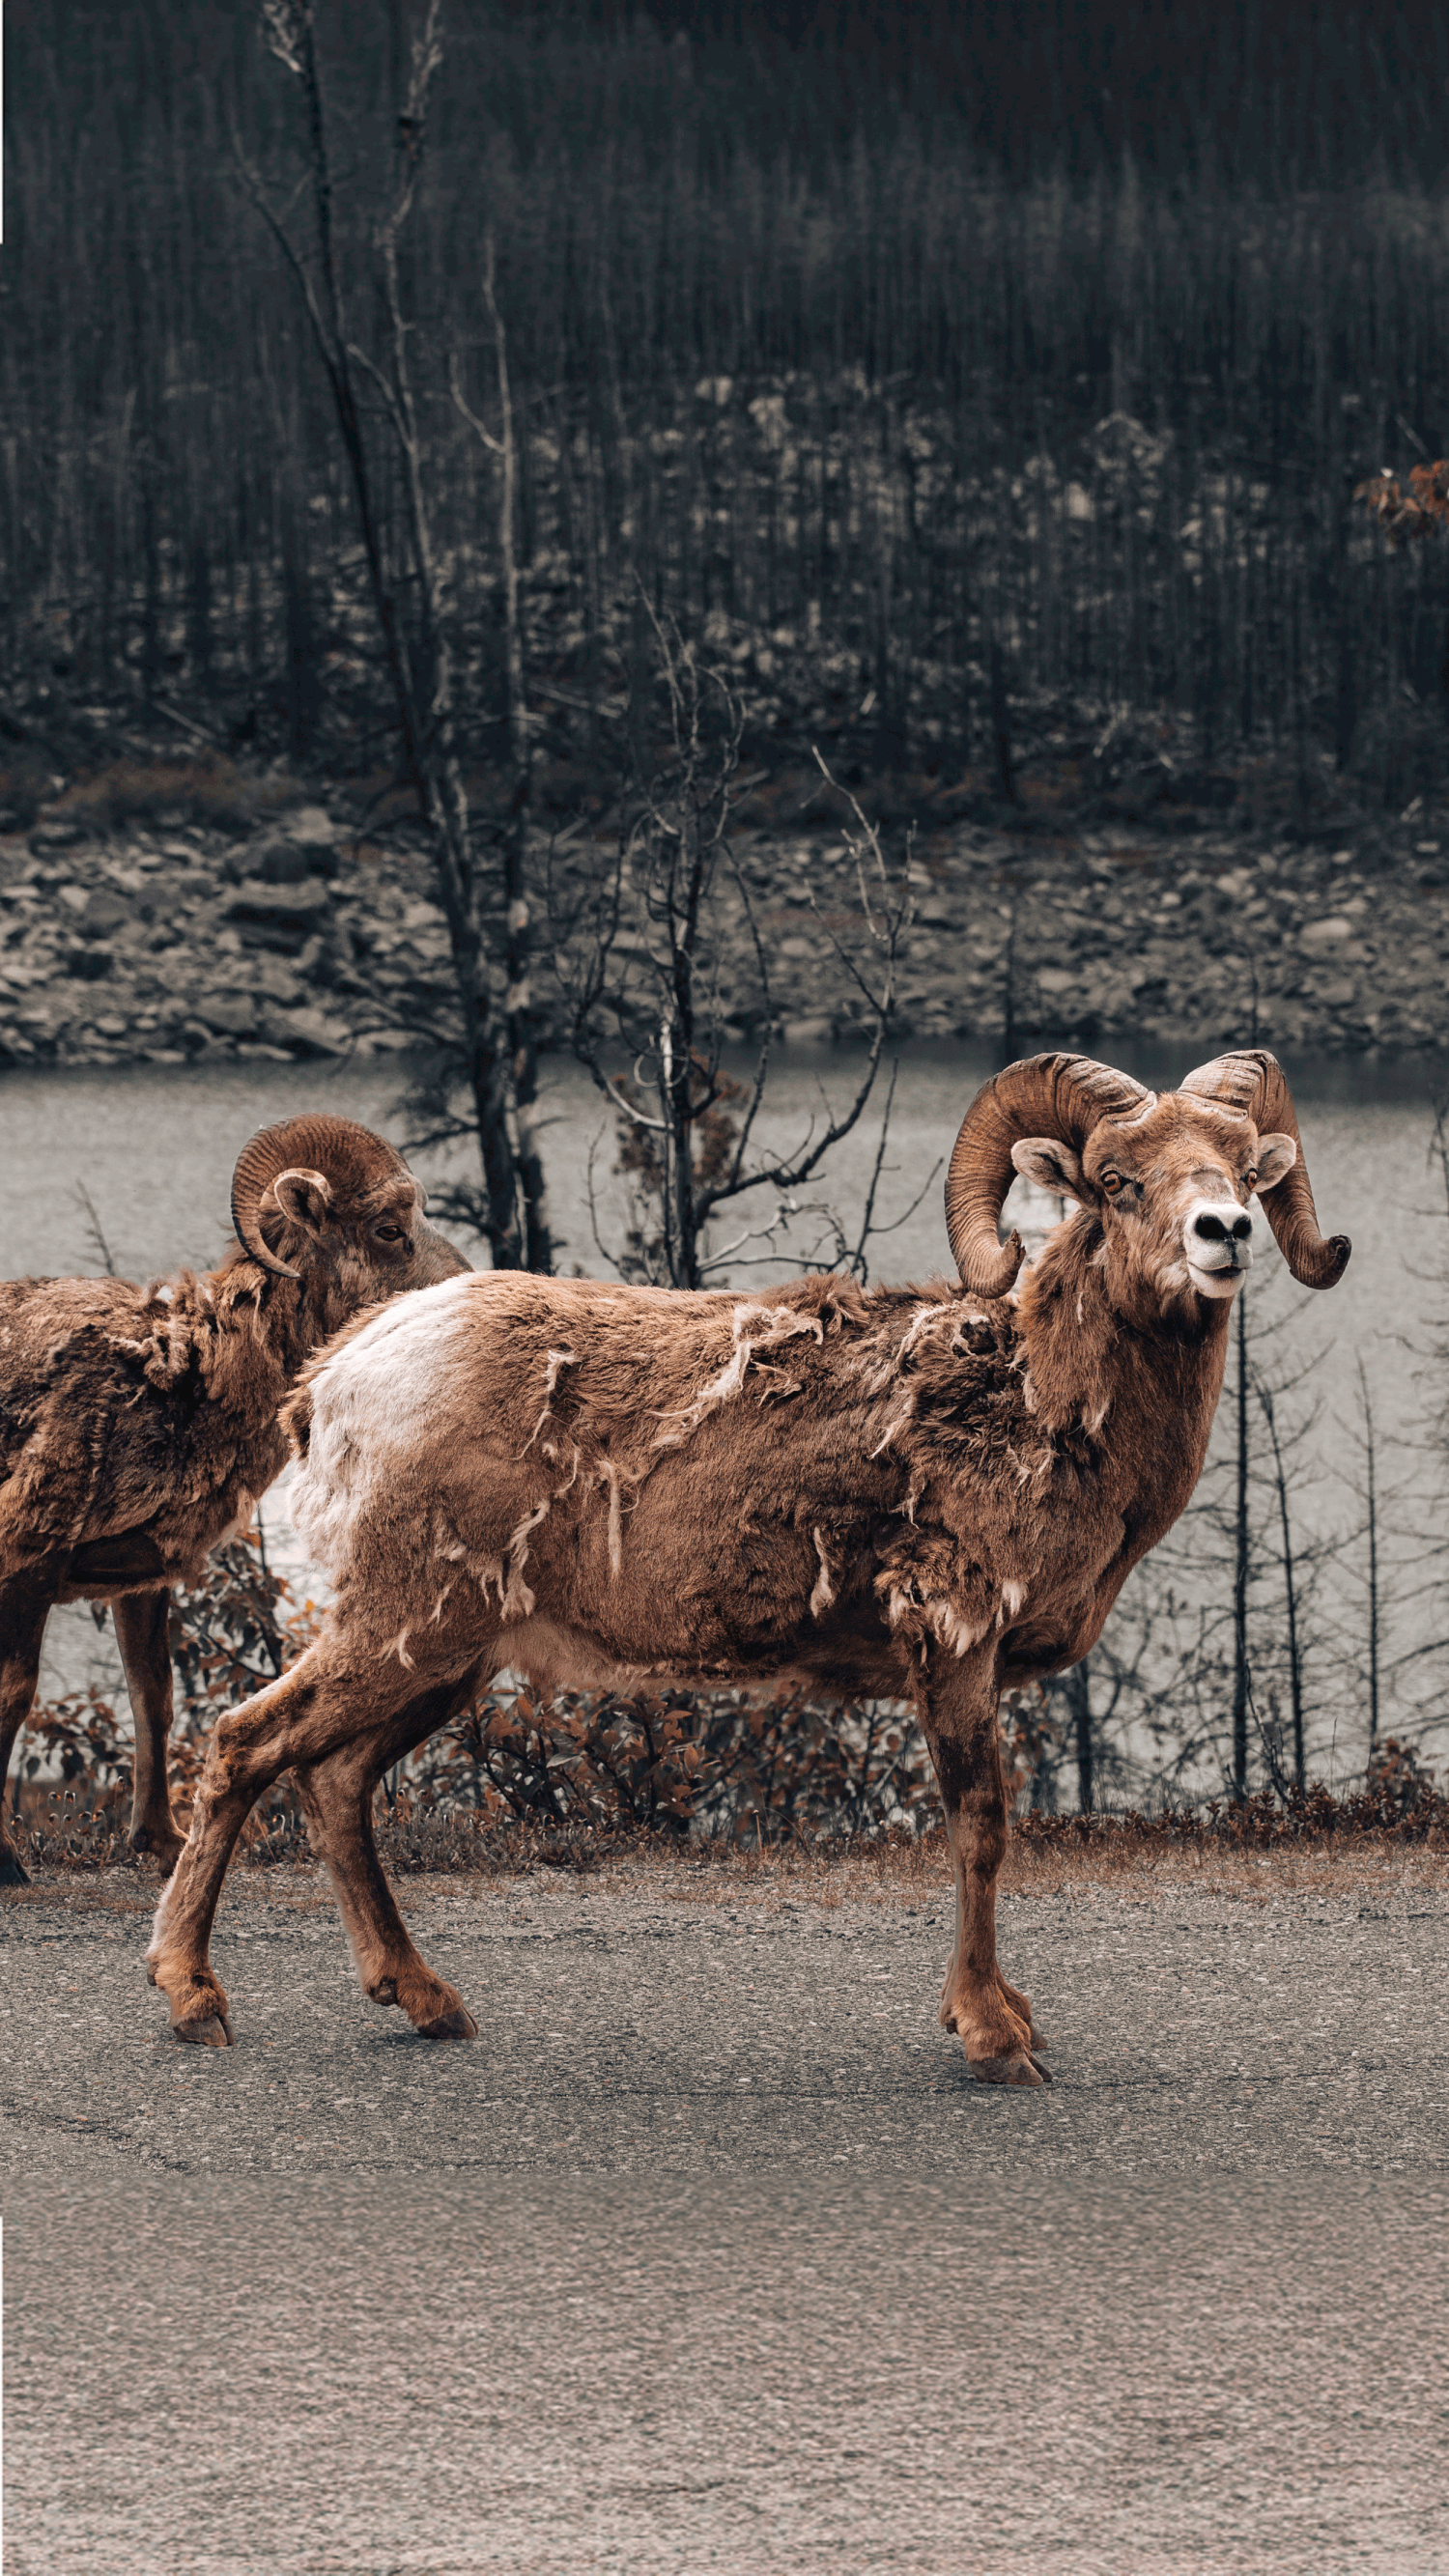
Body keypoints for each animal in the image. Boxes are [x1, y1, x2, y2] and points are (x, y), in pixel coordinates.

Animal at [0, 1116, 467, 1883]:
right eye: (388, 1228)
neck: (182, 1373)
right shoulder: (29, 1561)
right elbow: (14, 1697)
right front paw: (8, 1862)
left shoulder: (139, 1578)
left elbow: (153, 1697)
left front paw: (160, 1842)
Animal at [146, 1050, 1349, 2084]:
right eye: (1115, 1180)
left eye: (1243, 1166)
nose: (1225, 1232)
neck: (1037, 1400)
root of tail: (338, 1376)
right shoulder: (953, 1641)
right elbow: (980, 1827)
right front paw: (995, 2037)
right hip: (402, 1629)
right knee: (243, 1745)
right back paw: (195, 2000)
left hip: (448, 1660)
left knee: (335, 1780)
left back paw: (427, 2001)